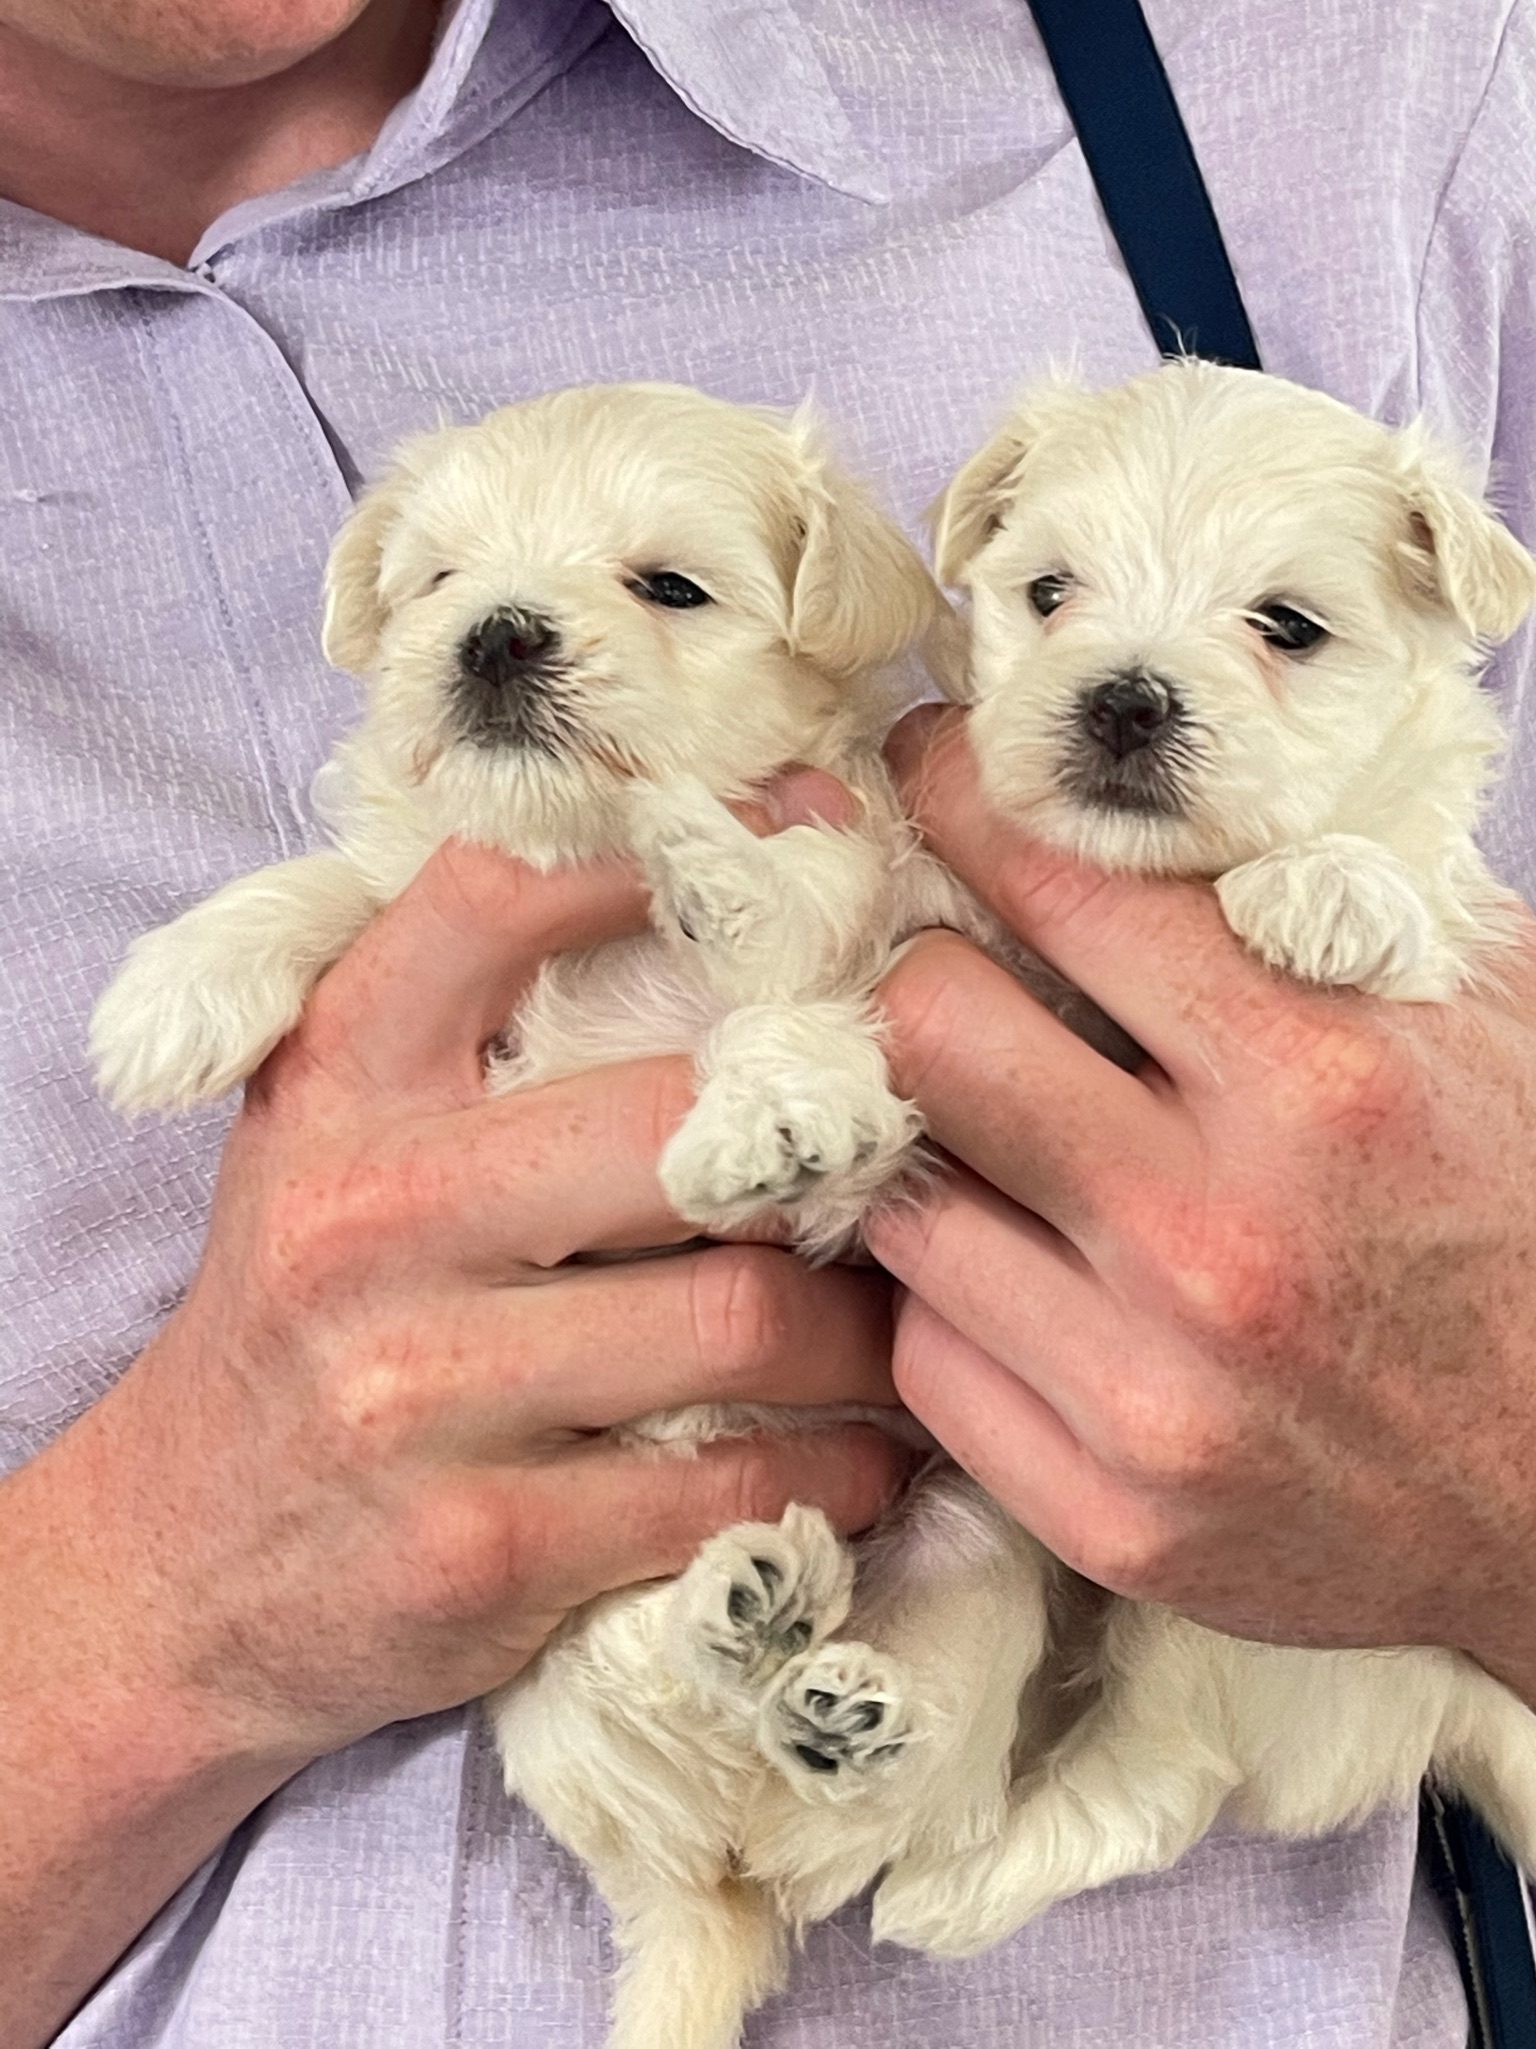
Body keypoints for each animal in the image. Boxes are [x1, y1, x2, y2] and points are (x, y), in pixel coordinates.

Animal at [868, 360, 1536, 1958]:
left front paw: (1329, 891)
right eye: (1050, 592)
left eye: (1286, 625)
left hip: (1244, 1615)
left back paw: (948, 1884)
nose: (1123, 694)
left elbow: (1406, 883)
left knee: (1159, 1784)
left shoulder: (1456, 931)